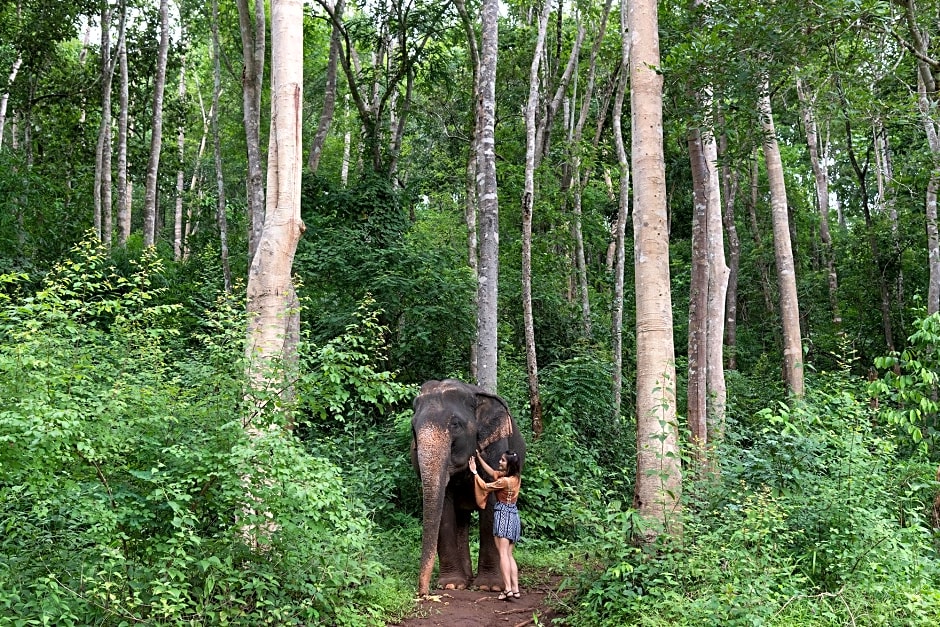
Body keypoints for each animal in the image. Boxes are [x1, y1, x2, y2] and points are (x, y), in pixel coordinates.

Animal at [411, 379, 526, 595]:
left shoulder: (496, 446)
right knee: (462, 520)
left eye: (455, 424)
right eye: (413, 428)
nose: (423, 593)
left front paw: (489, 586)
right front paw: (451, 584)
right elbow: (445, 505)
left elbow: (491, 499)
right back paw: (465, 579)